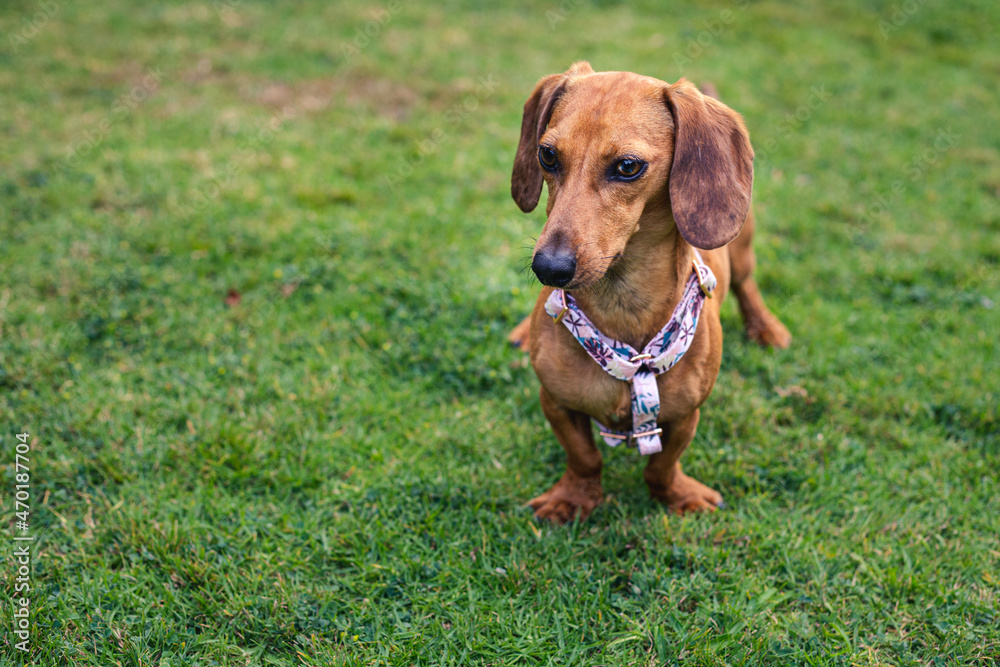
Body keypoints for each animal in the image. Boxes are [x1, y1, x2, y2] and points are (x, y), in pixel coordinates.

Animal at [508, 62, 788, 520]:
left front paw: (677, 495)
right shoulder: (556, 403)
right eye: (547, 155)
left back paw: (765, 327)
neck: (623, 307)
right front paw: (573, 498)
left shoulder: (684, 416)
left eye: (627, 166)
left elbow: (661, 466)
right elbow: (584, 457)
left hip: (744, 248)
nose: (549, 268)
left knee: (747, 287)